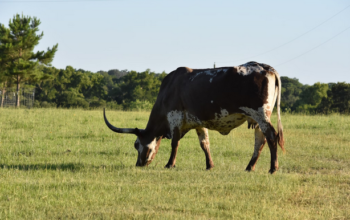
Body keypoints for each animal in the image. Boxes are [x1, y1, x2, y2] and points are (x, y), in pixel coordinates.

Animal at [104, 61, 284, 173]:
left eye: (136, 144)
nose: (139, 164)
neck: (169, 89)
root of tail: (266, 67)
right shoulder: (199, 123)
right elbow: (205, 144)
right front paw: (209, 165)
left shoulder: (175, 118)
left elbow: (175, 143)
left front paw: (170, 164)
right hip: (259, 119)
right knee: (260, 141)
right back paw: (249, 167)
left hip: (261, 115)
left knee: (271, 136)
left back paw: (273, 168)